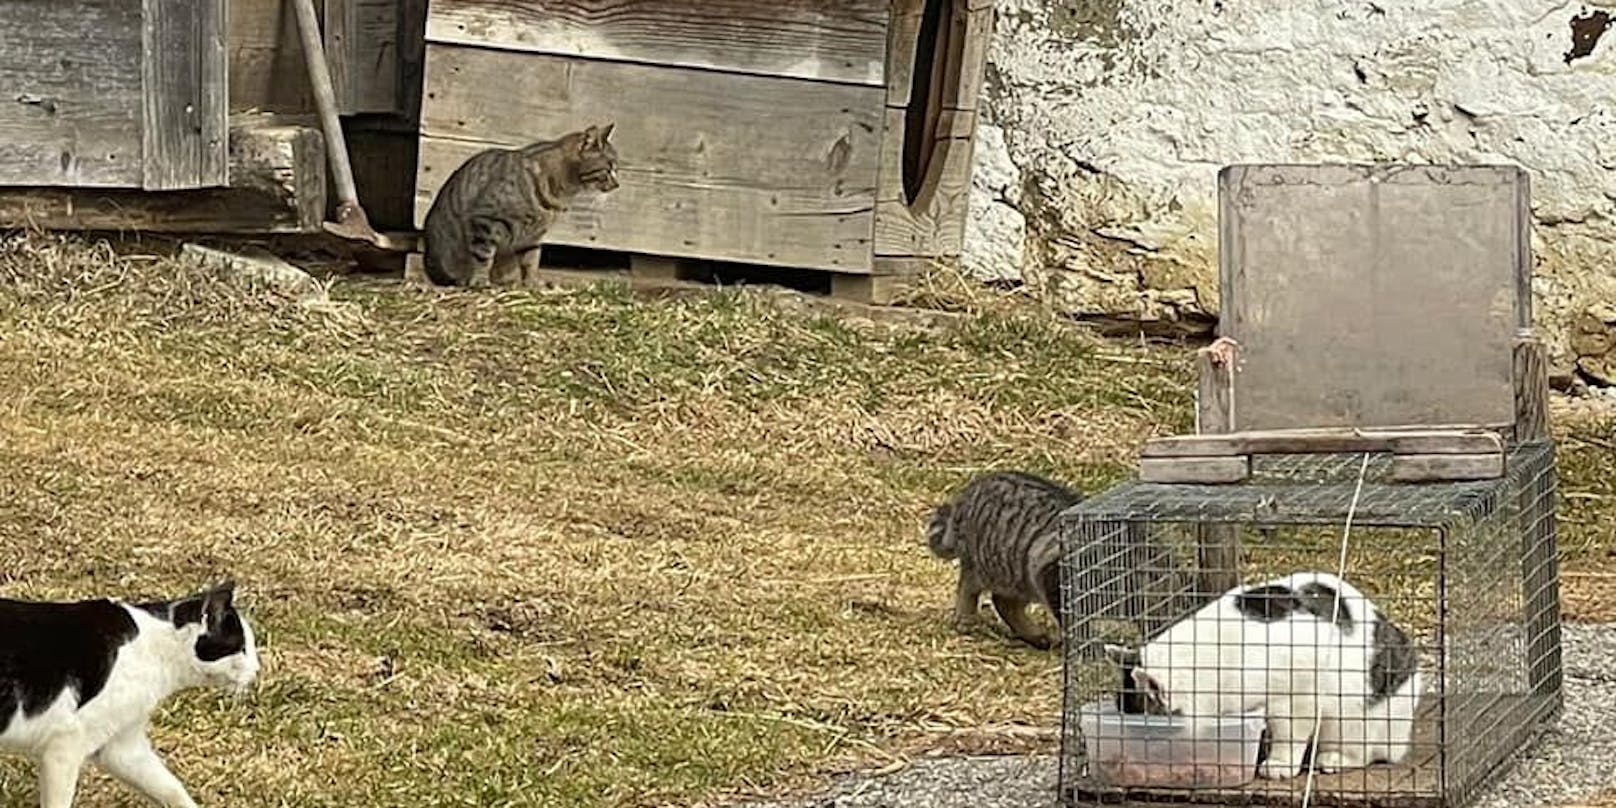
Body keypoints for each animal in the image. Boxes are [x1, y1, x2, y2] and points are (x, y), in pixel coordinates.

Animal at [0, 581, 258, 808]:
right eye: (242, 648)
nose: (257, 670)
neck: (158, 651)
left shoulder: (122, 747)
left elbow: (171, 788)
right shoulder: (63, 747)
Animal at [1105, 572, 1422, 778]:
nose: (1130, 757)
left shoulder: (1297, 694)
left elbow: (1289, 733)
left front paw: (1278, 765)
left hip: (1355, 718)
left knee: (1367, 752)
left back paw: (1332, 759)